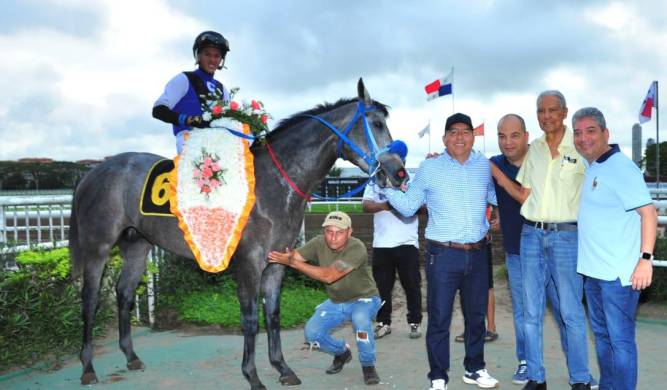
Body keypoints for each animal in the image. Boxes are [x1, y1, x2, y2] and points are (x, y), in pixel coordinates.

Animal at [70, 79, 410, 390]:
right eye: (377, 123)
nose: (399, 173)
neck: (272, 185)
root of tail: (93, 172)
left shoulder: (277, 263)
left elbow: (272, 315)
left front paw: (282, 368)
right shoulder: (248, 264)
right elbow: (250, 320)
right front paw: (253, 376)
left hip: (138, 246)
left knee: (124, 293)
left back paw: (130, 357)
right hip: (98, 248)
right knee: (89, 299)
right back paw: (87, 367)